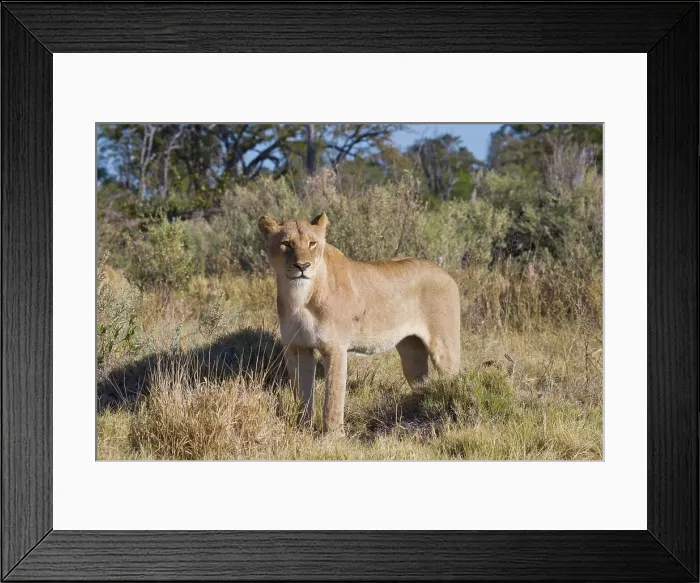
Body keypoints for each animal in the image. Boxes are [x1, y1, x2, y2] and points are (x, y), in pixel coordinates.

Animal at [258, 211, 461, 434]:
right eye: (286, 243)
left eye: (312, 244)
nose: (302, 266)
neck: (299, 296)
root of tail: (444, 273)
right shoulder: (296, 348)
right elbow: (303, 394)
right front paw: (303, 429)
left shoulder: (335, 349)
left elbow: (333, 398)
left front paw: (332, 436)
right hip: (411, 352)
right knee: (421, 382)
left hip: (444, 348)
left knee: (453, 380)